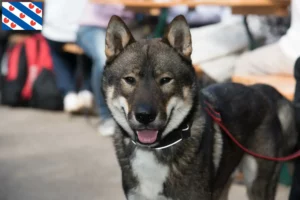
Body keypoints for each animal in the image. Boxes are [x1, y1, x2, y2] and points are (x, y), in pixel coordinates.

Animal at [101, 14, 298, 199]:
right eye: (129, 79)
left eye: (165, 80)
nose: (145, 116)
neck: (156, 149)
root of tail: (262, 89)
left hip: (257, 183)